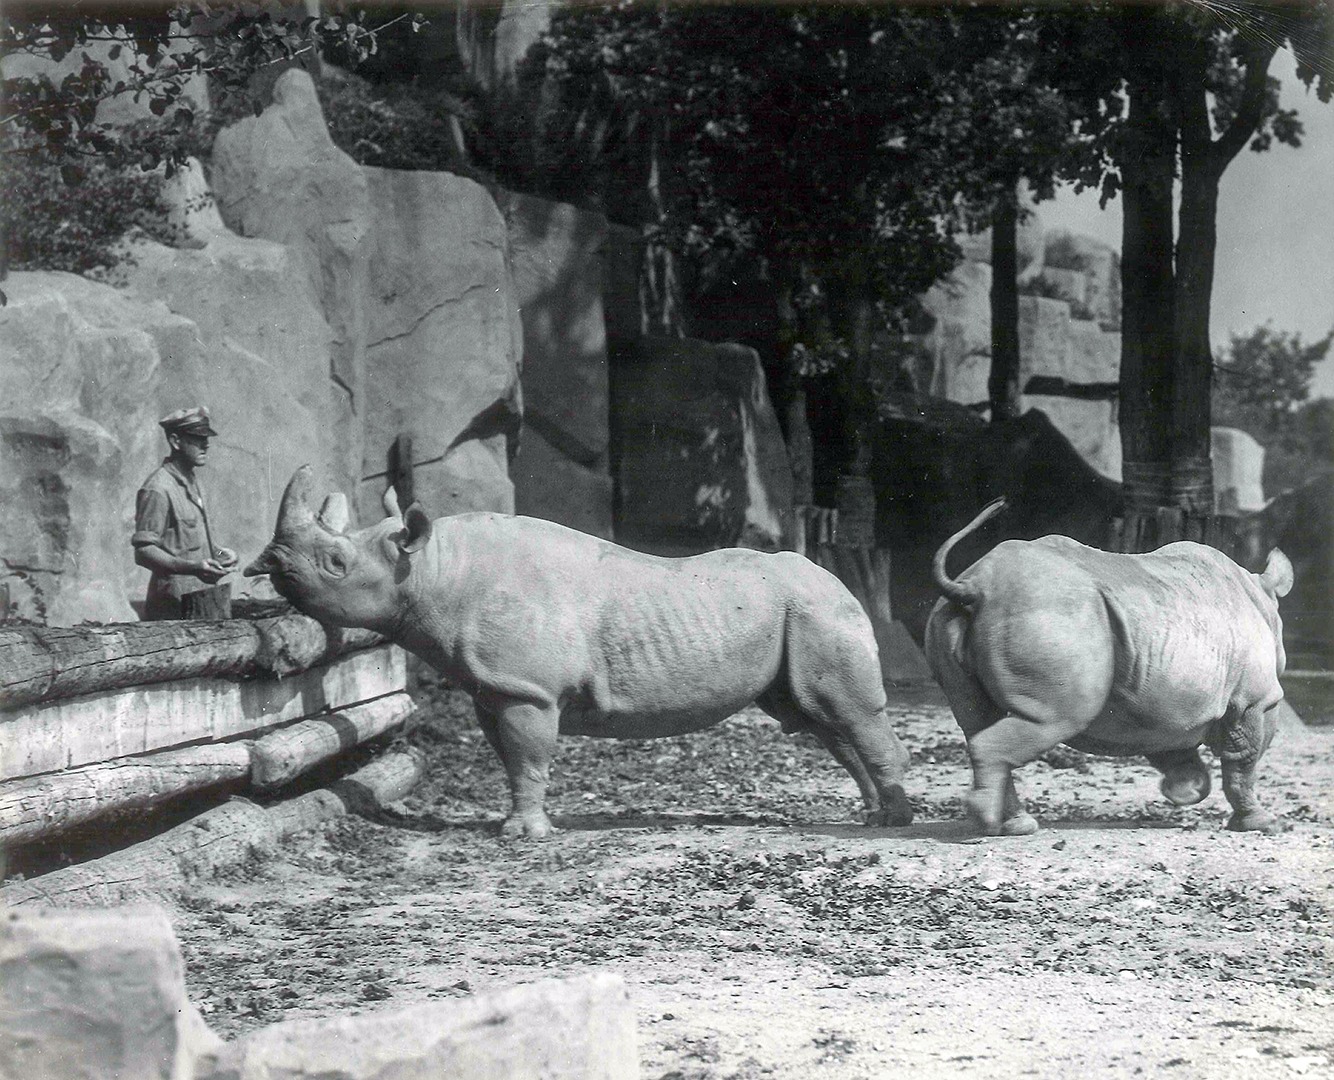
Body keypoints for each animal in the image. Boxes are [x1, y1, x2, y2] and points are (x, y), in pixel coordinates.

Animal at [245, 466, 913, 838]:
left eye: (335, 564)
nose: (267, 563)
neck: (431, 569)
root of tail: (840, 580)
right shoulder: (495, 687)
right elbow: (512, 759)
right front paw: (515, 824)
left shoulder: (529, 690)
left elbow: (529, 756)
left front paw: (524, 836)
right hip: (800, 616)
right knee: (817, 720)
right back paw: (871, 815)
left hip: (820, 612)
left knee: (846, 713)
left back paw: (894, 823)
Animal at [925, 498, 1293, 837]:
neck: (1261, 597)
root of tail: (974, 587)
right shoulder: (1255, 700)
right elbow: (1243, 761)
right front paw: (1260, 823)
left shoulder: (1167, 704)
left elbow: (1176, 746)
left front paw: (1185, 789)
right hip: (1050, 612)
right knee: (1055, 718)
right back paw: (989, 824)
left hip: (964, 615)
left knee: (977, 719)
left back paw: (1014, 824)